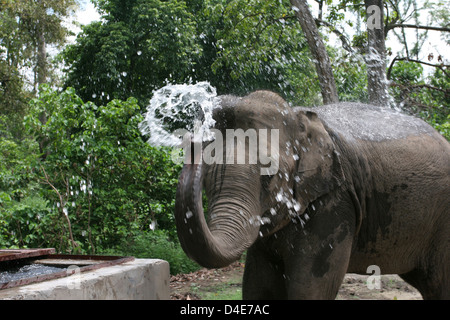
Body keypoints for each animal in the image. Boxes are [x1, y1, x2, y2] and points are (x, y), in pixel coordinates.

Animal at [174, 90, 448, 300]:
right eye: (207, 180)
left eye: (270, 176)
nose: (191, 139)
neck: (300, 119)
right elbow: (258, 286)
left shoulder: (334, 201)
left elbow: (310, 288)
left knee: (439, 283)